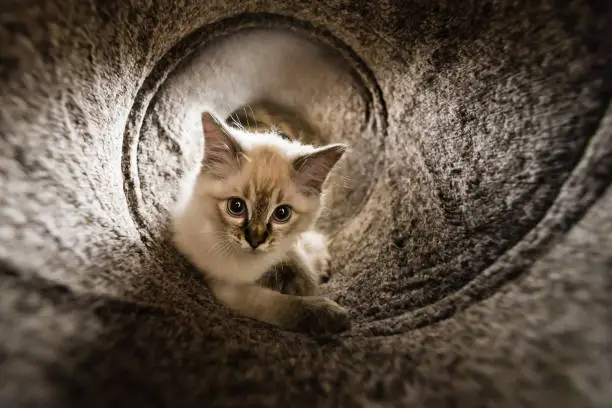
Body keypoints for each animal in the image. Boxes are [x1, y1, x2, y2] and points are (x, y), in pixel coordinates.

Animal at [172, 111, 352, 334]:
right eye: (236, 207)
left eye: (281, 213)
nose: (255, 241)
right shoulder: (227, 286)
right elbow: (283, 305)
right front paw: (330, 315)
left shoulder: (287, 245)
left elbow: (299, 262)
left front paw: (305, 283)